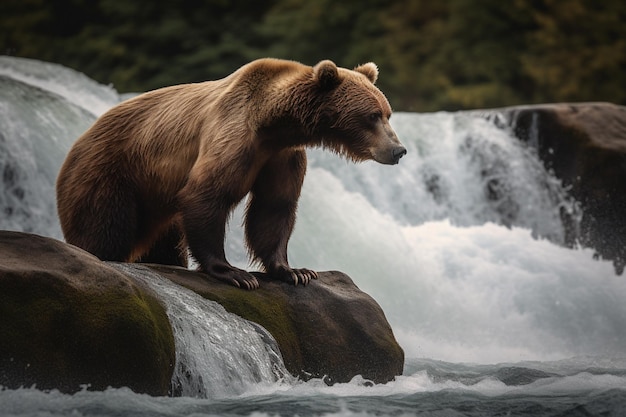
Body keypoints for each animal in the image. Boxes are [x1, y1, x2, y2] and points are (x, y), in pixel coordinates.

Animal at [57, 57, 404, 288]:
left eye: (387, 113)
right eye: (372, 115)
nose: (398, 150)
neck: (275, 124)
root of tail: (76, 143)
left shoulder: (281, 156)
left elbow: (274, 208)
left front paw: (295, 271)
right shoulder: (235, 136)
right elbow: (207, 194)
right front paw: (234, 273)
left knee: (165, 244)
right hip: (110, 175)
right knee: (104, 229)